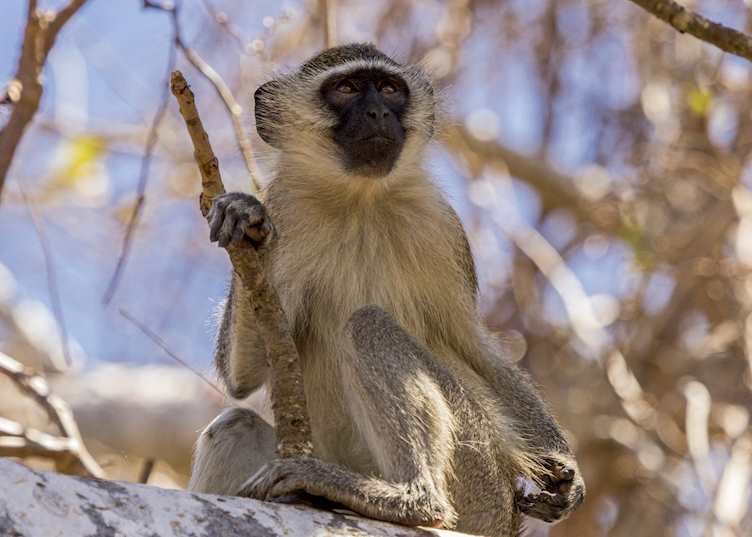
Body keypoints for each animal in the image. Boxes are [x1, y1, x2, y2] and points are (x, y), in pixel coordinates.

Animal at [188, 43, 585, 536]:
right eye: (346, 88)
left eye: (391, 89)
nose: (378, 112)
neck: (360, 199)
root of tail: (503, 520)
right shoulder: (286, 213)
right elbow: (245, 375)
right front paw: (242, 213)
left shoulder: (442, 227)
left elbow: (471, 343)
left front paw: (564, 471)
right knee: (235, 424)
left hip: (479, 472)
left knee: (369, 325)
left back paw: (411, 500)